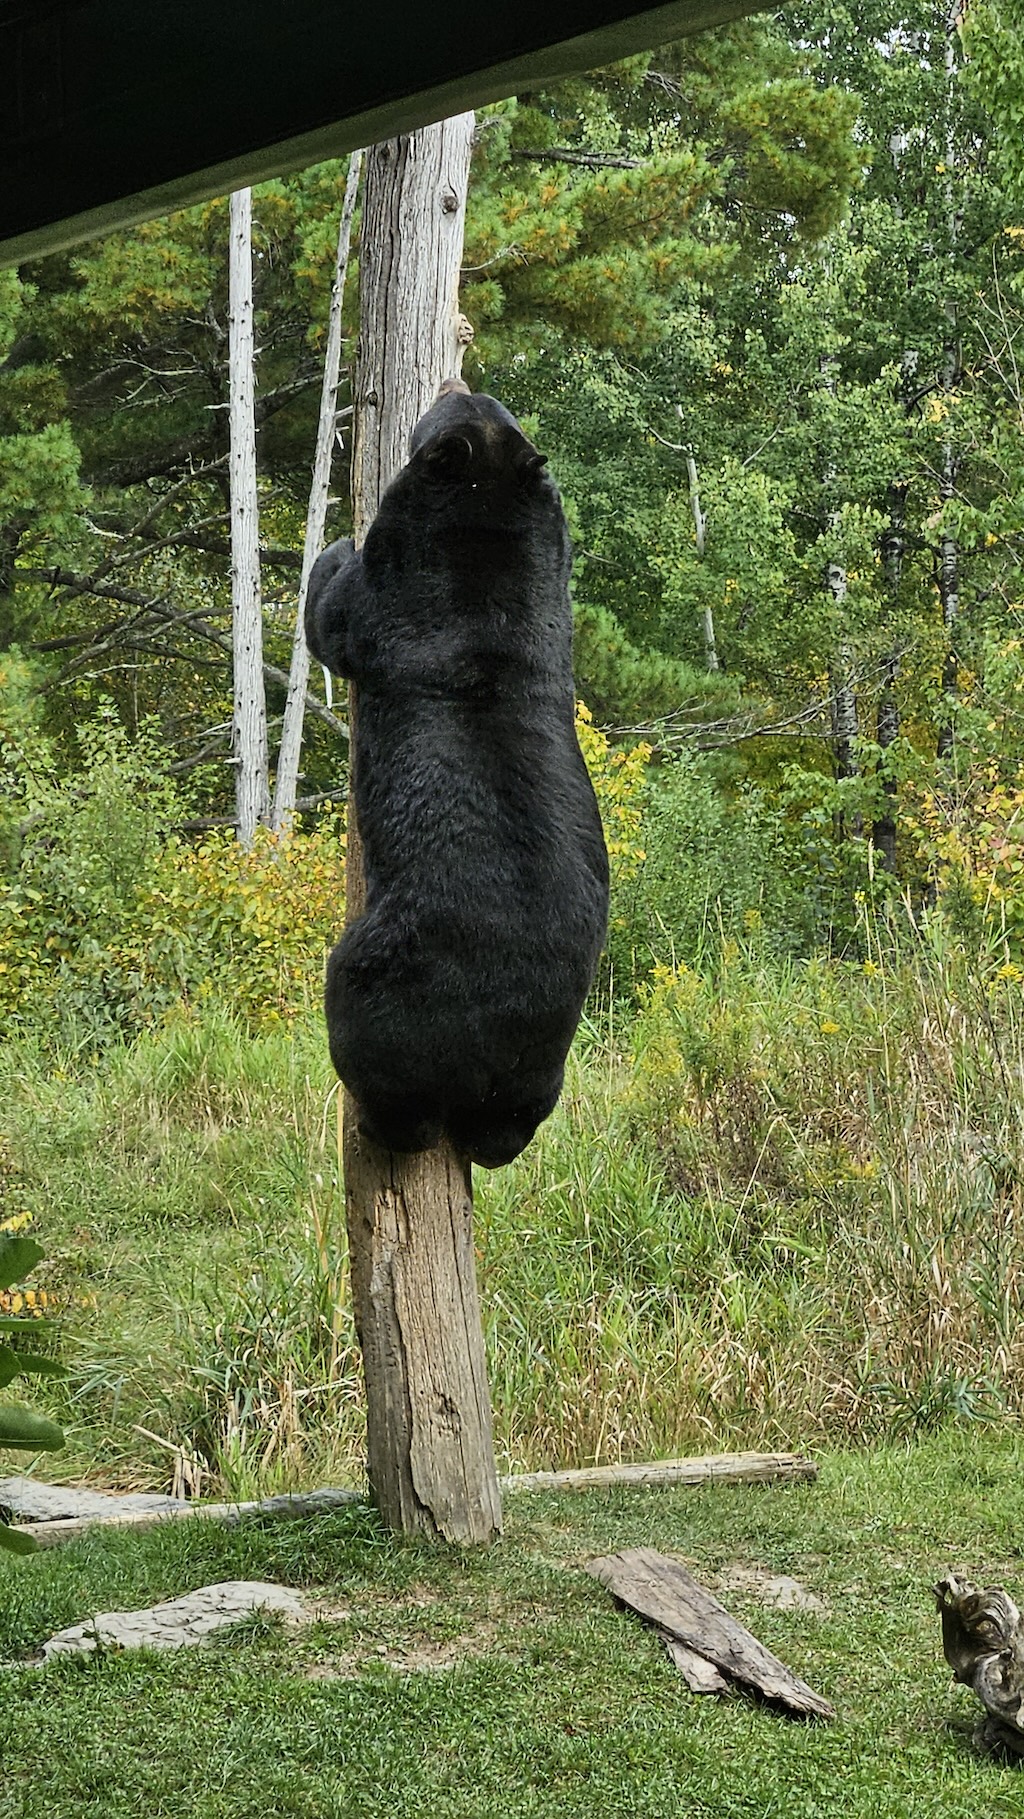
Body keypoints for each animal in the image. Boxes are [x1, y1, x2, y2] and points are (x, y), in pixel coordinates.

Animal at [305, 384, 609, 1169]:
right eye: (488, 397)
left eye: (461, 401)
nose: (450, 384)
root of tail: (486, 1059)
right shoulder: (546, 563)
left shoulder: (403, 582)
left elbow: (336, 617)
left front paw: (335, 548)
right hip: (543, 1067)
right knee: (508, 1128)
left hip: (381, 982)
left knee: (379, 1064)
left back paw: (376, 1122)